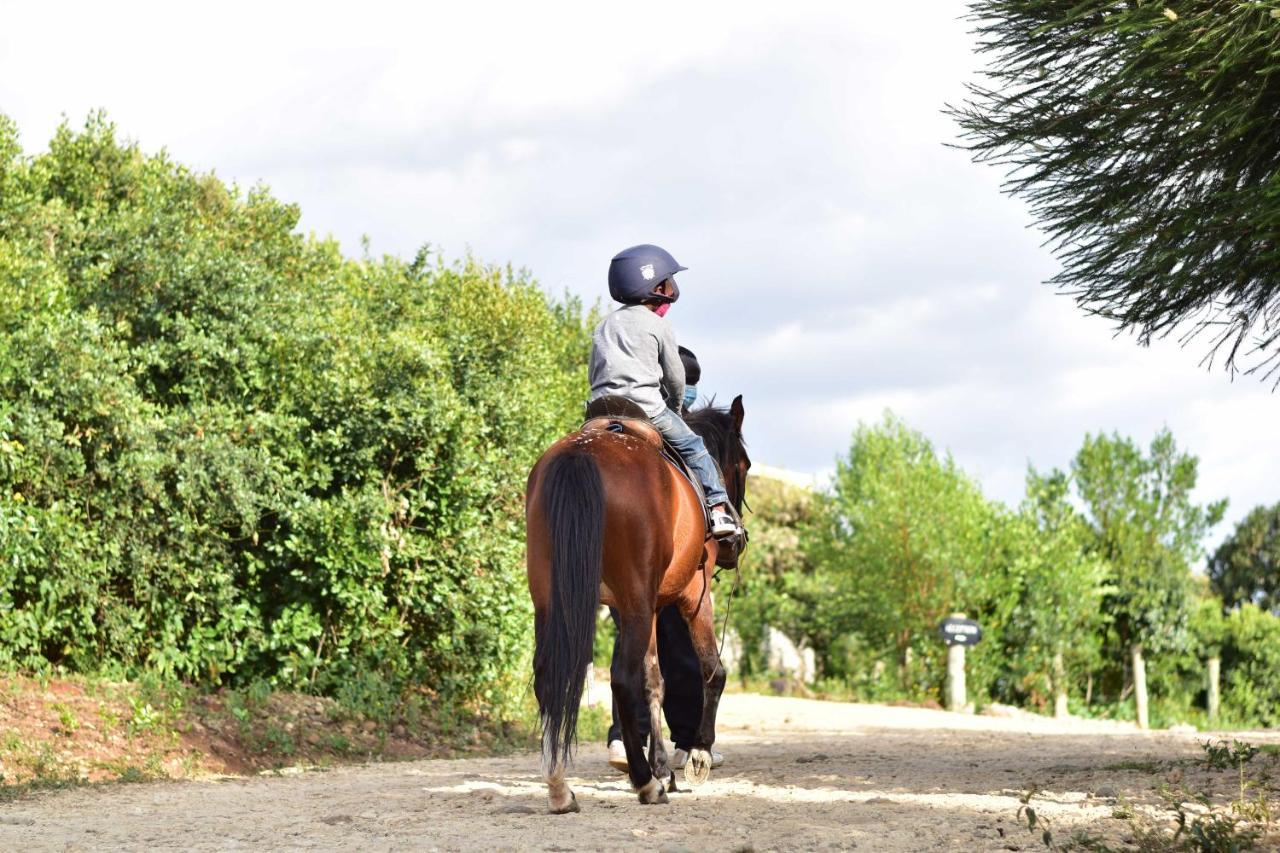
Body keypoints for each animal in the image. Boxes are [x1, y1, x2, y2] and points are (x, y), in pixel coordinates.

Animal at [522, 394, 747, 809]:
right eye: (744, 464)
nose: (736, 541)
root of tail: (583, 453)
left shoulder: (648, 607)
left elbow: (654, 680)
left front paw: (663, 766)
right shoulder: (693, 594)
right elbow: (712, 670)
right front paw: (698, 754)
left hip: (554, 600)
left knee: (548, 676)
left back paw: (560, 786)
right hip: (637, 602)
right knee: (621, 679)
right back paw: (645, 783)